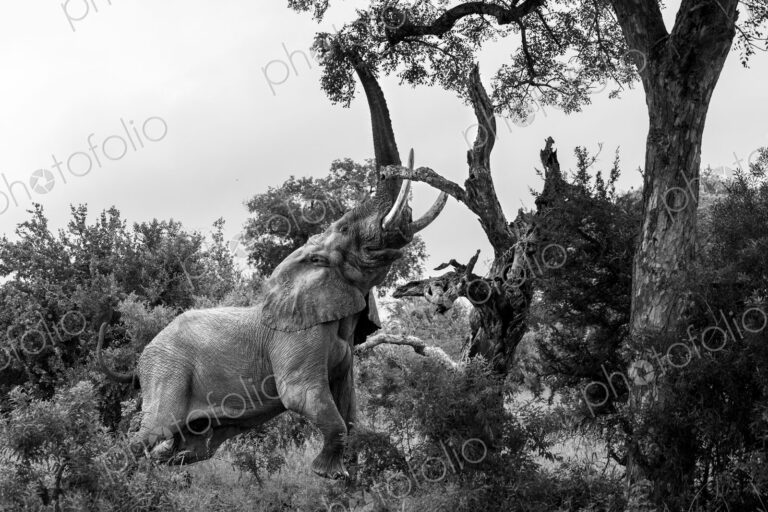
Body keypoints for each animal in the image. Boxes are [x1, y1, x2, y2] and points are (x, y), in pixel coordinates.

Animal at [97, 157, 447, 478]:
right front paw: (326, 474)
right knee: (153, 430)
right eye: (345, 230)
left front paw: (345, 477)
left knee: (190, 449)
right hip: (167, 370)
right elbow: (302, 396)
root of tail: (142, 356)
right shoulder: (297, 336)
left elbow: (348, 404)